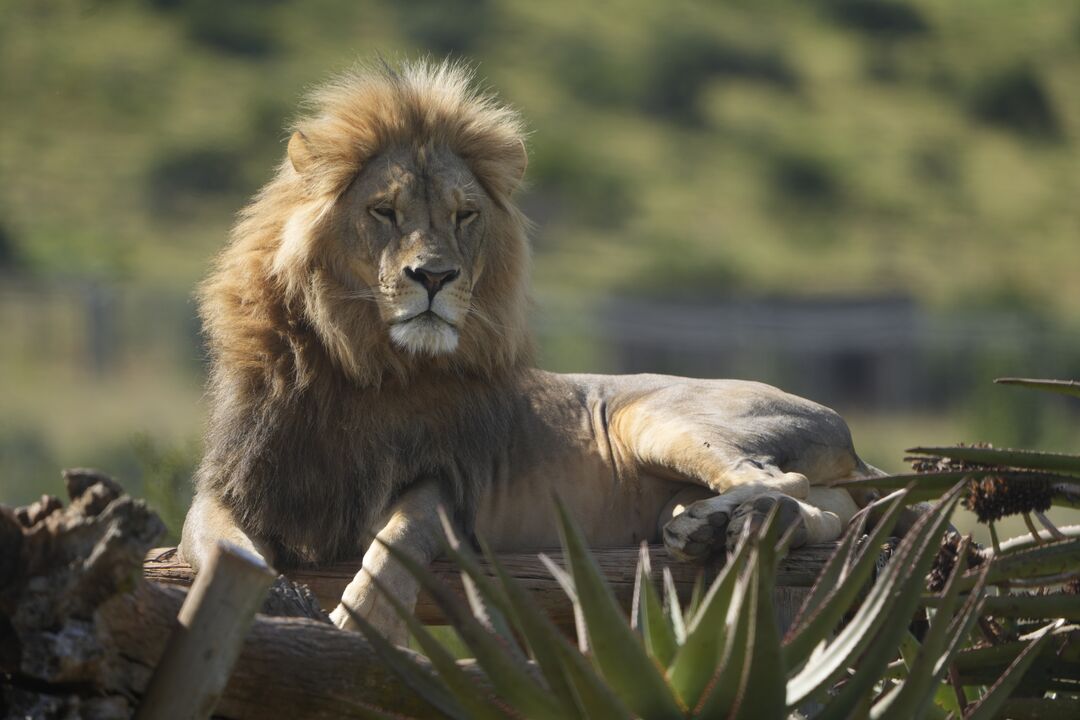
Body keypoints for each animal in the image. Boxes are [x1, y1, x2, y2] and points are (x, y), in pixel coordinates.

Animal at [181, 59, 881, 639]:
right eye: (384, 211)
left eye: (464, 216)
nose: (434, 277)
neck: (362, 365)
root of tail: (845, 430)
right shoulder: (231, 484)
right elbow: (223, 544)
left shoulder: (445, 489)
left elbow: (395, 547)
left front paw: (358, 627)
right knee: (824, 518)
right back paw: (715, 527)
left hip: (658, 417)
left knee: (783, 481)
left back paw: (730, 523)